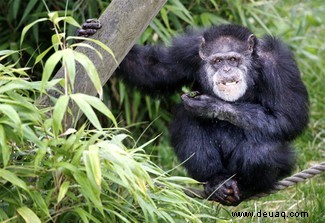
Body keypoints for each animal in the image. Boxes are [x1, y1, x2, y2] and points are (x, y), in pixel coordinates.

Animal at [77, 19, 308, 206]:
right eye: (217, 61)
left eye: (233, 59)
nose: (226, 70)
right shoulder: (188, 52)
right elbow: (154, 69)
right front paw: (87, 32)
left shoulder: (279, 64)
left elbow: (288, 118)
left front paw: (210, 106)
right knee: (186, 118)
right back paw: (216, 182)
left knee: (261, 152)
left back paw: (246, 189)